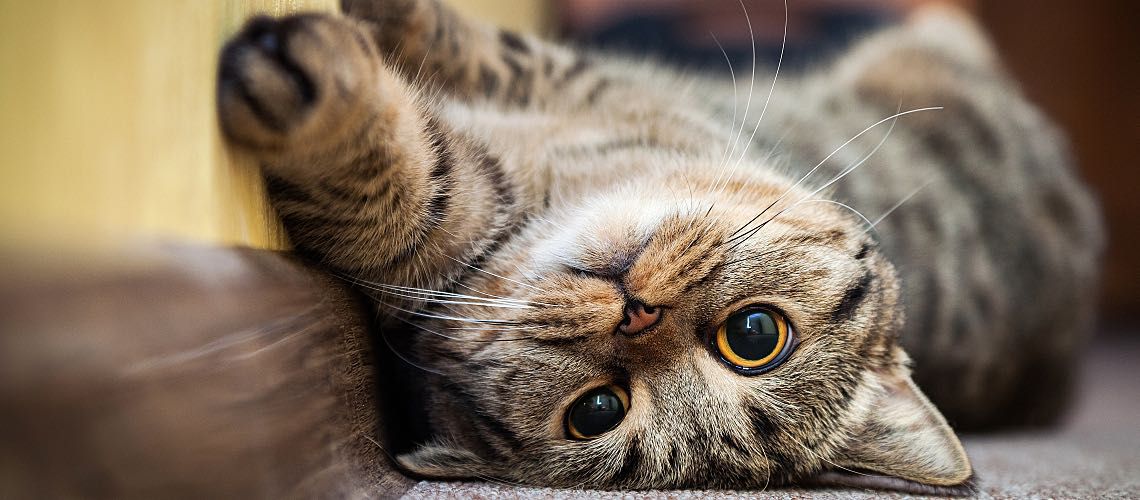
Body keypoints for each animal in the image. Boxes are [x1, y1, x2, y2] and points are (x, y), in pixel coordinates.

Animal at [215, 0, 1103, 494]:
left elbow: (404, 182)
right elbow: (452, 34)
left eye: (597, 413)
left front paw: (316, 96)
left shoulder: (461, 218)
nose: (636, 311)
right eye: (757, 335)